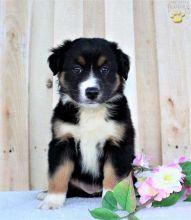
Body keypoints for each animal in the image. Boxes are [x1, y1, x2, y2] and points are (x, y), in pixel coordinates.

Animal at [38, 38, 134, 210]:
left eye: (104, 69)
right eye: (77, 69)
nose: (92, 92)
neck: (91, 112)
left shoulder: (118, 144)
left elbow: (113, 176)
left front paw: (113, 200)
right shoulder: (62, 141)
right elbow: (58, 173)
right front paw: (52, 201)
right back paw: (45, 193)